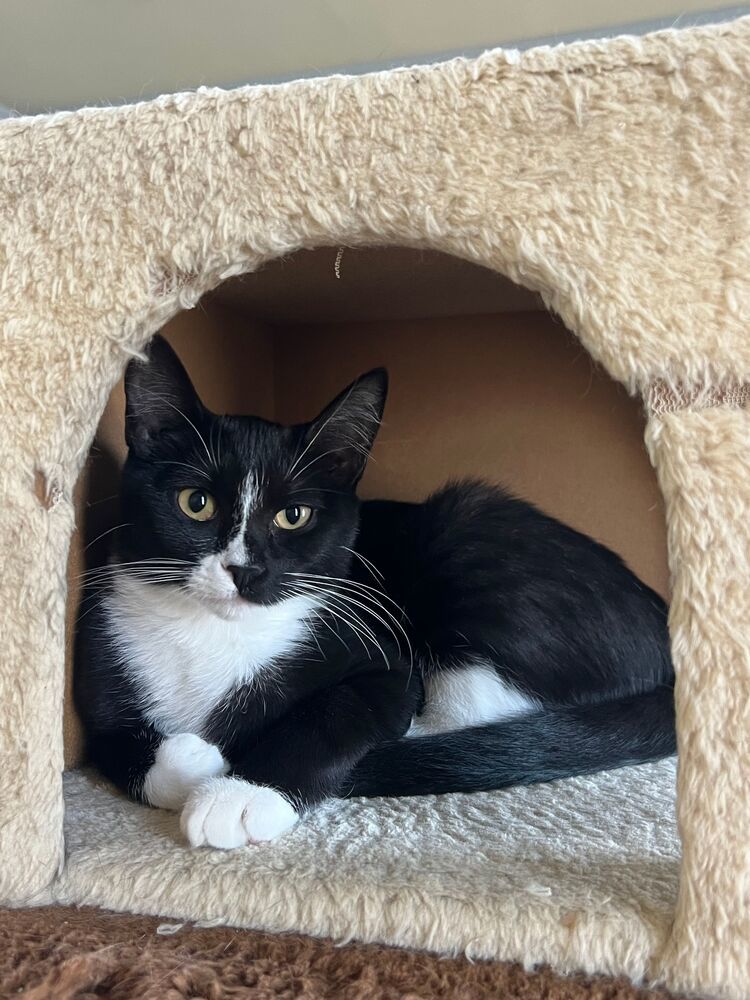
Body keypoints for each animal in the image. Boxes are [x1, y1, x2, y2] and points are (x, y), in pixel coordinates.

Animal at [75, 332, 676, 848]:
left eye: (295, 515)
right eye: (195, 503)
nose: (245, 570)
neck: (213, 632)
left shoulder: (377, 657)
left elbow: (339, 710)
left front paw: (237, 793)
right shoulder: (99, 648)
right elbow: (106, 737)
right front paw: (190, 764)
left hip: (472, 541)